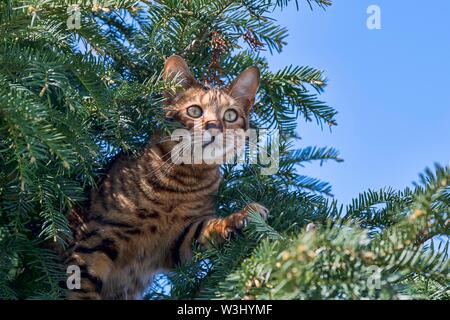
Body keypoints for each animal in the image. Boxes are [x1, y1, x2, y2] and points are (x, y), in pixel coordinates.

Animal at [65, 55, 268, 300]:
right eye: (194, 111)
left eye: (230, 115)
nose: (214, 127)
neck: (182, 184)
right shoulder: (96, 238)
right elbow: (81, 287)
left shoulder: (177, 241)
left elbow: (209, 229)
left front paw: (242, 217)